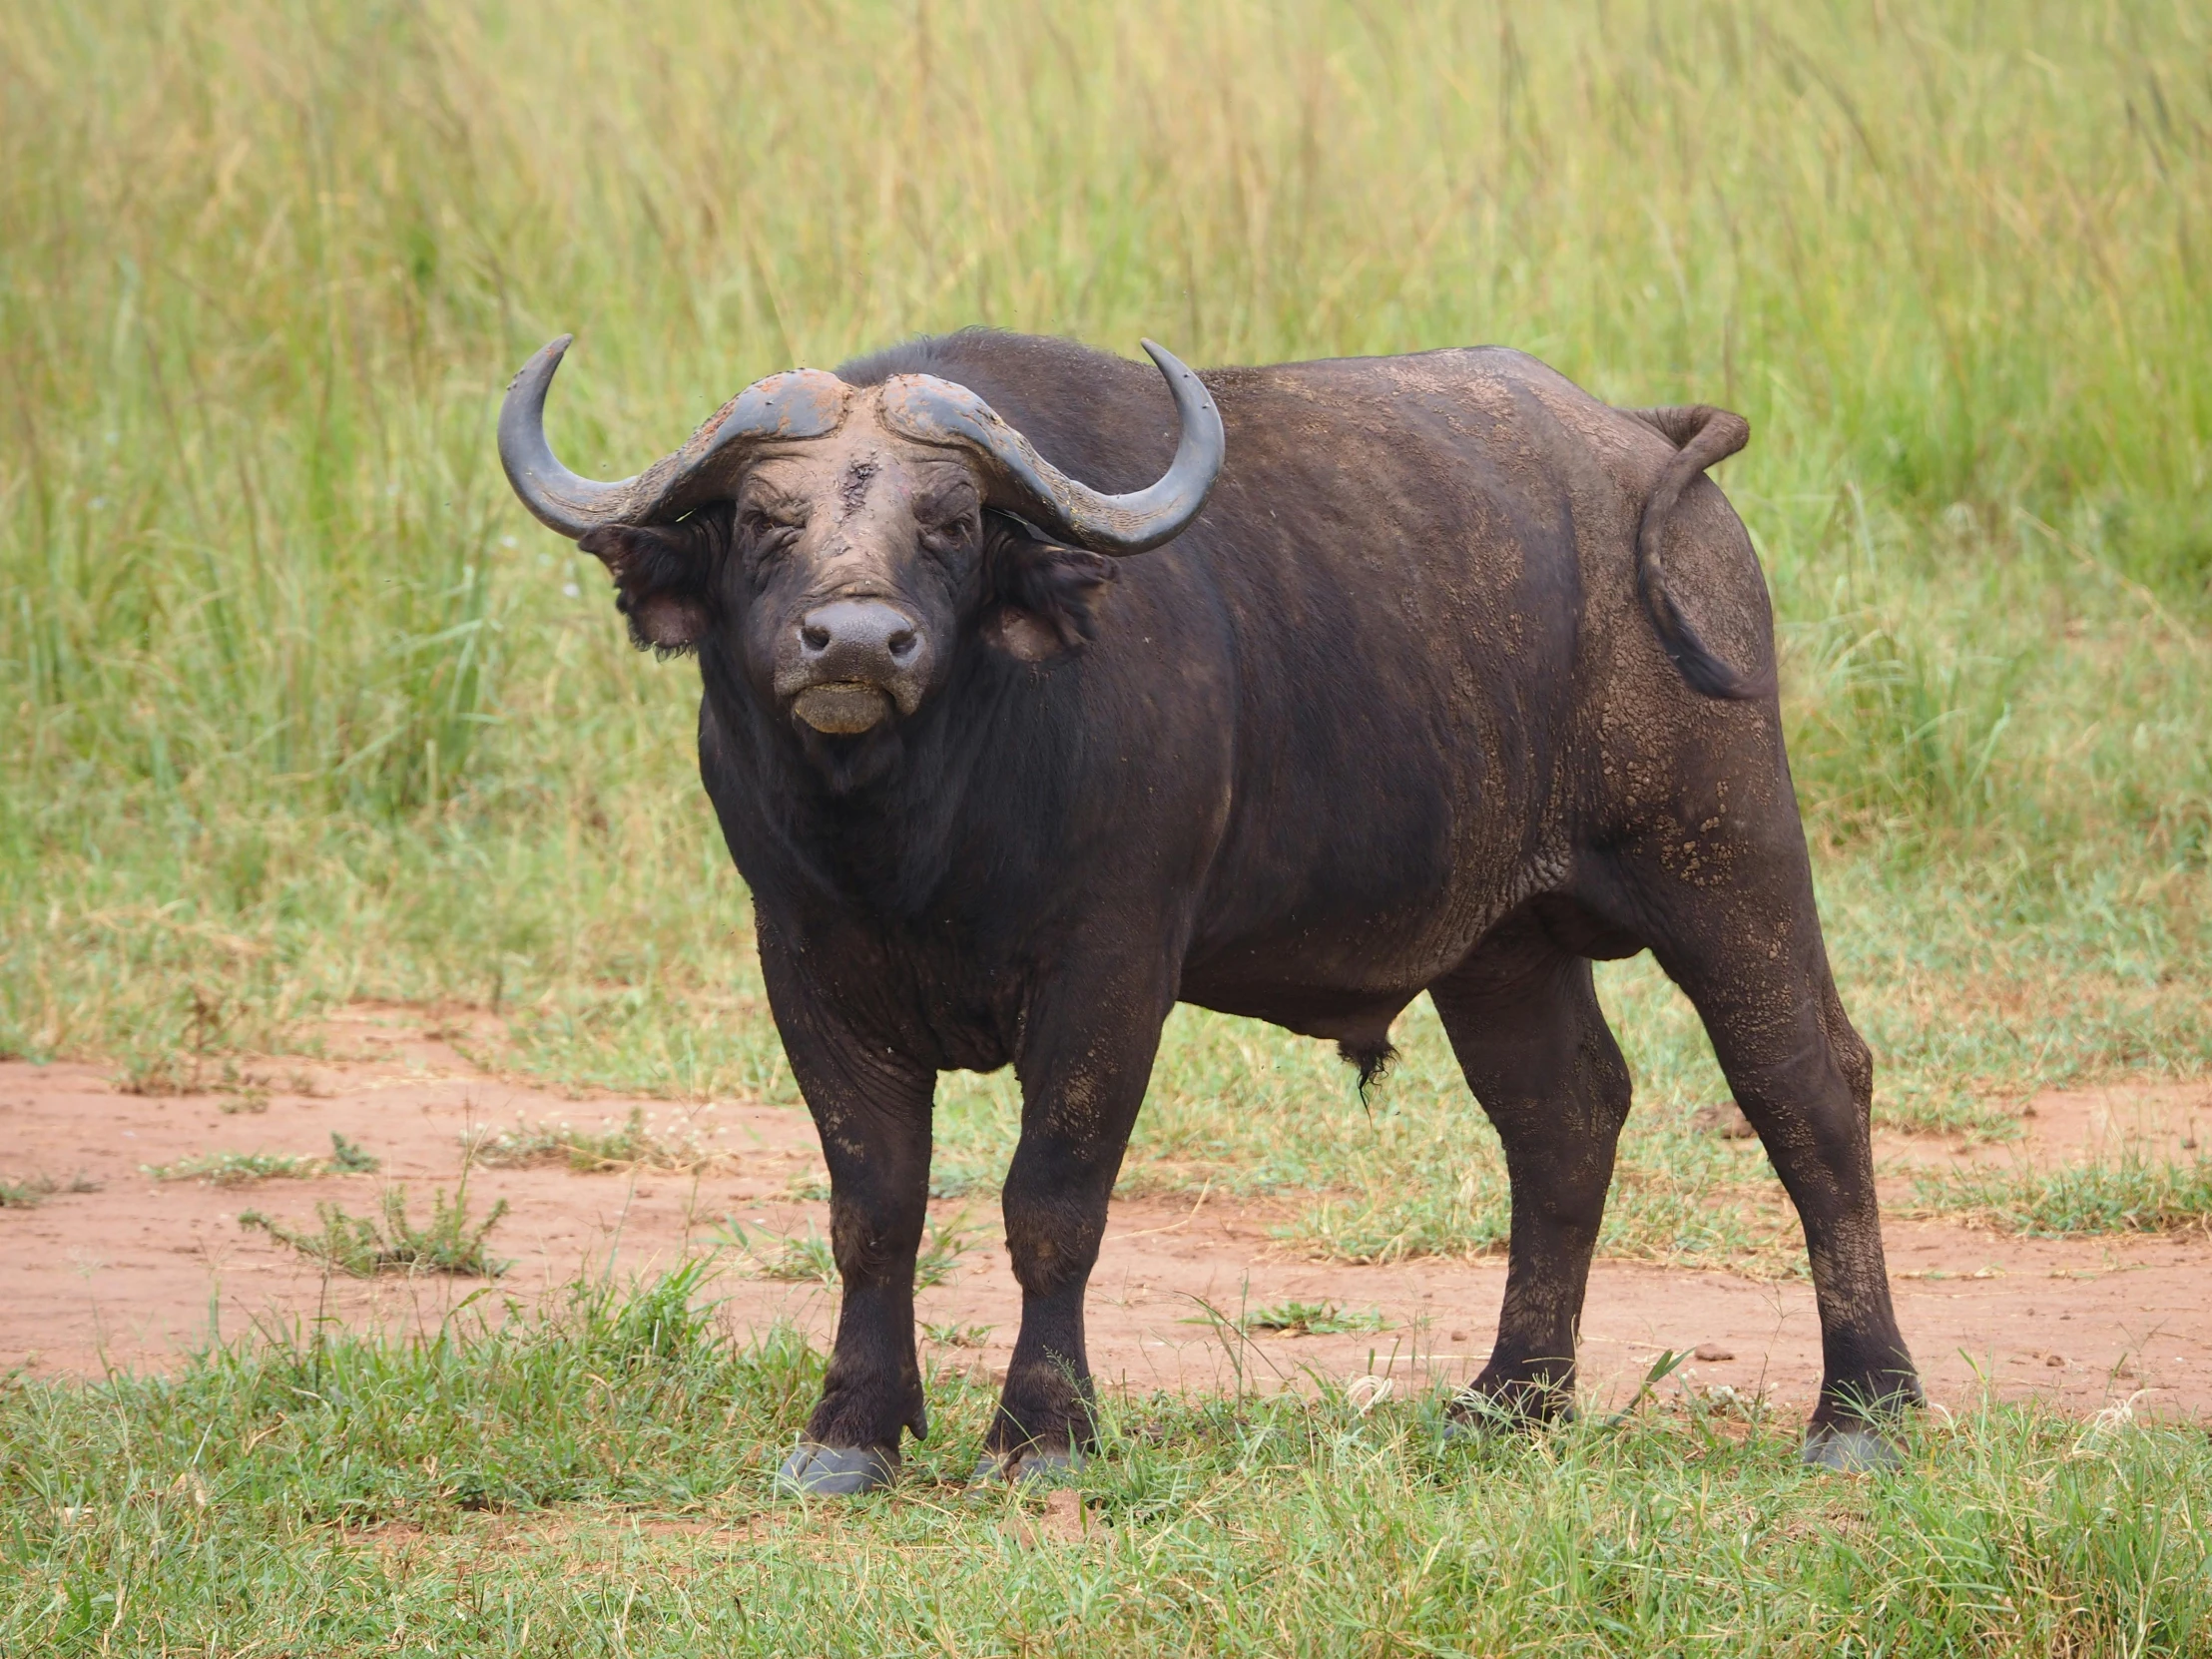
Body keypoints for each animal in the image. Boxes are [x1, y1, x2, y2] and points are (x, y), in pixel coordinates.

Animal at [497, 326, 1920, 1495]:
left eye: (951, 521)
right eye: (761, 520)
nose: (854, 644)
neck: (913, 831)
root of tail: (1642, 443)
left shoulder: (1110, 969)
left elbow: (1051, 1201)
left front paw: (1043, 1436)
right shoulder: (807, 964)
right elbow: (873, 1209)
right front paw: (848, 1431)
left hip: (1725, 854)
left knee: (1805, 1086)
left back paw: (1861, 1414)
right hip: (1499, 944)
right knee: (1563, 1115)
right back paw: (1509, 1401)